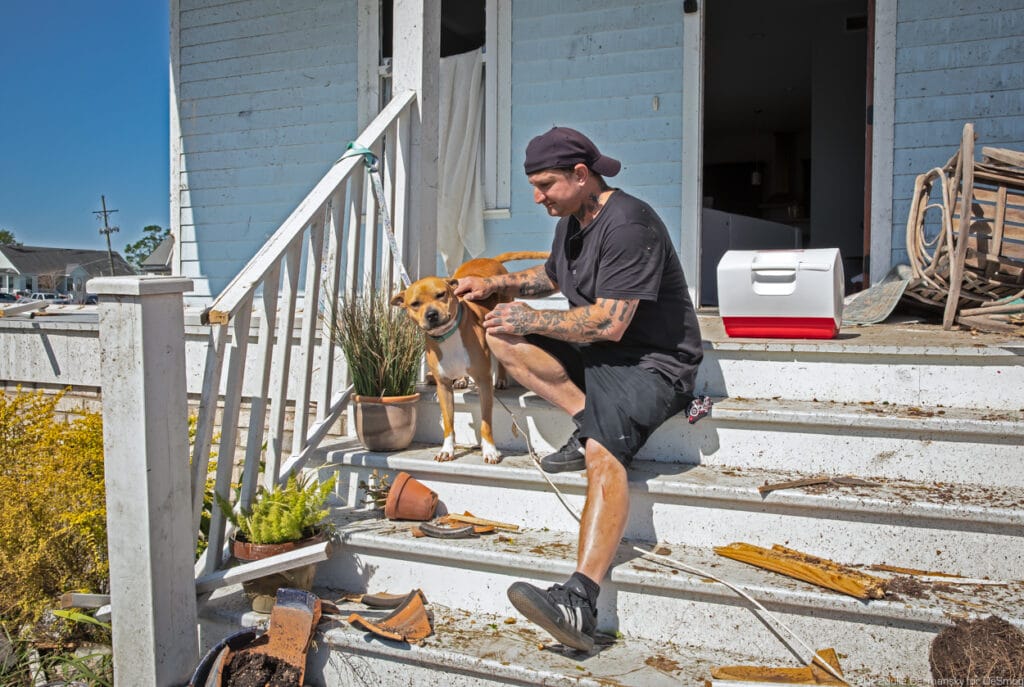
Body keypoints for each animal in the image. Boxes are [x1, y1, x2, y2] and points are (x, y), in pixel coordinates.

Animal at [391, 249, 548, 464]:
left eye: (441, 294)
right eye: (415, 304)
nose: (431, 314)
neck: (448, 336)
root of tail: (489, 259)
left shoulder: (483, 382)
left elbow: (486, 422)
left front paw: (490, 450)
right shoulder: (443, 387)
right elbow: (448, 422)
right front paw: (447, 450)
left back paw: (501, 380)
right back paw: (462, 380)